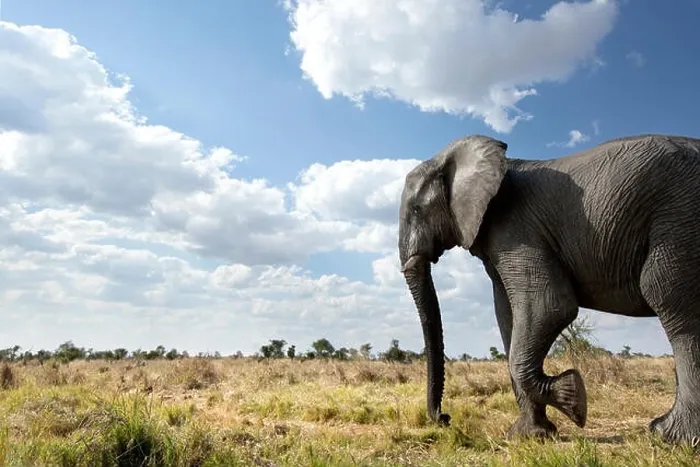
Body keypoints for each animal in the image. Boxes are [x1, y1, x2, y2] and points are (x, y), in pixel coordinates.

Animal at [398, 133, 700, 444]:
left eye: (417, 210)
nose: (445, 418)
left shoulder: (517, 230)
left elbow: (550, 306)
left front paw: (574, 401)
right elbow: (507, 318)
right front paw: (528, 436)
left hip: (680, 217)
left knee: (670, 300)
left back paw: (670, 437)